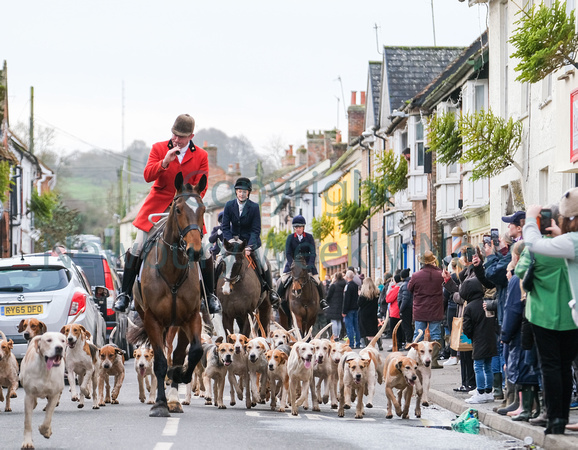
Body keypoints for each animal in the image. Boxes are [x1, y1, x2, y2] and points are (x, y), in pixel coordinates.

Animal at [129, 173, 206, 418]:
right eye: (179, 209)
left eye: (203, 209)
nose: (195, 251)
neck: (172, 270)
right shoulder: (152, 319)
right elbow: (160, 363)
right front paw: (160, 405)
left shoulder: (192, 317)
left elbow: (194, 352)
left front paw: (179, 377)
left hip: (178, 324)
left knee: (180, 353)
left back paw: (174, 398)